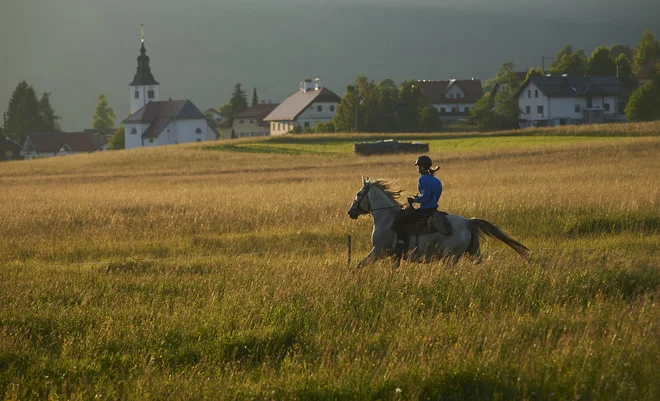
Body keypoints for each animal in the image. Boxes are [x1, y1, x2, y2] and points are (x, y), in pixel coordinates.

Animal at [346, 177, 532, 266]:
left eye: (358, 194)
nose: (351, 212)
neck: (386, 218)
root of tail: (468, 222)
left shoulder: (379, 251)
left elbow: (360, 265)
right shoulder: (394, 256)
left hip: (450, 257)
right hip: (473, 252)